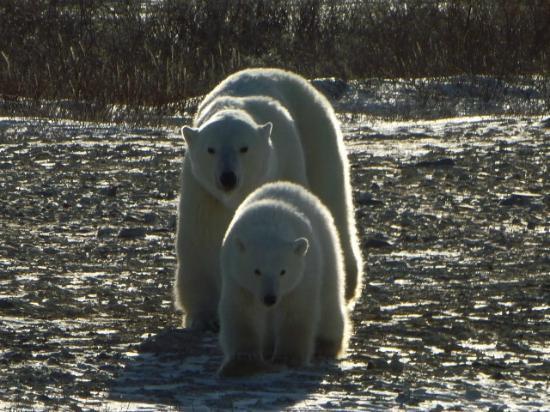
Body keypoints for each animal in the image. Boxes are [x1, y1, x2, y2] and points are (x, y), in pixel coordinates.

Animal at [177, 67, 364, 332]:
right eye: (210, 149)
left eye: (243, 148)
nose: (228, 178)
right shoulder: (202, 191)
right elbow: (200, 239)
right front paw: (204, 316)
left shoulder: (283, 163)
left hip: (317, 134)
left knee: (333, 195)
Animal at [219, 181, 350, 376]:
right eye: (256, 271)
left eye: (283, 271)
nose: (270, 298)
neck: (269, 225)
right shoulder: (236, 278)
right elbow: (242, 312)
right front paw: (242, 363)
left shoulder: (302, 276)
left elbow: (295, 313)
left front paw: (288, 358)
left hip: (328, 250)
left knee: (329, 296)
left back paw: (326, 344)